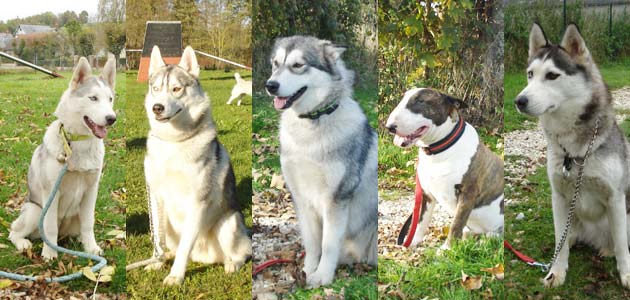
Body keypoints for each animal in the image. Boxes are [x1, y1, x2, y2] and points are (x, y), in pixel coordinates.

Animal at [143, 45, 252, 284]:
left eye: (176, 89)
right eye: (156, 88)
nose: (157, 107)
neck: (174, 142)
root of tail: (203, 257)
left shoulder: (197, 202)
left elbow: (185, 246)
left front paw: (176, 276)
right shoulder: (156, 197)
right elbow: (158, 240)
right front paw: (157, 262)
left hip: (227, 223)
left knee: (242, 253)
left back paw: (232, 264)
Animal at [266, 36, 378, 288]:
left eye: (298, 65)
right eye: (276, 64)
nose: (270, 85)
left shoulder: (336, 199)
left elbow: (328, 244)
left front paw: (323, 275)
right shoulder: (301, 198)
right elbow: (312, 243)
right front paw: (307, 270)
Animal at [386, 88, 504, 250]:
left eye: (420, 101)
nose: (389, 127)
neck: (439, 151)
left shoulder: (468, 193)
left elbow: (456, 223)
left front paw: (446, 249)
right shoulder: (426, 194)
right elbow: (421, 222)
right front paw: (412, 242)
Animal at [520, 23, 630, 288]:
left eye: (552, 76)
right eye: (530, 74)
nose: (519, 100)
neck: (576, 152)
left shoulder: (616, 198)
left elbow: (622, 246)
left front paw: (626, 274)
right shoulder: (559, 197)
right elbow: (560, 246)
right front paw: (556, 272)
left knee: (617, 240)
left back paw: (608, 249)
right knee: (566, 236)